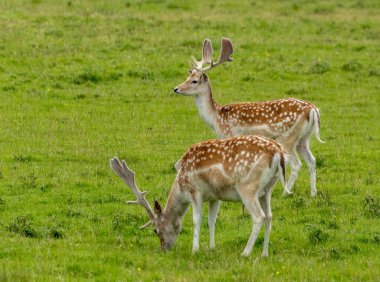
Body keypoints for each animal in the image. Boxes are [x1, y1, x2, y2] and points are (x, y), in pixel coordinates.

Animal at [110, 135, 288, 256]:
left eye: (156, 230)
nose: (163, 248)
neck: (181, 184)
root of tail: (278, 153)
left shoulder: (195, 191)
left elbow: (196, 220)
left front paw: (195, 249)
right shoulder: (215, 196)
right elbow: (211, 221)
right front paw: (212, 247)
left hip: (247, 187)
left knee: (259, 217)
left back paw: (245, 252)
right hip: (267, 190)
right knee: (269, 216)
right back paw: (264, 253)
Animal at [173, 37, 324, 196]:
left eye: (194, 81)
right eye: (187, 77)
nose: (176, 88)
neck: (216, 118)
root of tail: (313, 110)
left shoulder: (229, 135)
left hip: (288, 137)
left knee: (296, 164)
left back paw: (285, 193)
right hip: (303, 139)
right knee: (312, 160)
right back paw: (313, 193)